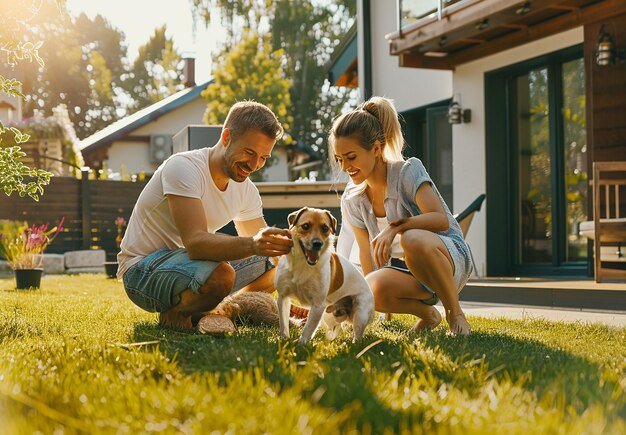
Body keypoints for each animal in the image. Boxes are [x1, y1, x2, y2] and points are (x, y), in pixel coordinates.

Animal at [276, 206, 372, 346]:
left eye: (325, 228)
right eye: (305, 226)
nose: (317, 243)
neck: (303, 264)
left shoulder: (318, 305)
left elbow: (309, 327)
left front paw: (302, 344)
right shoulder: (282, 297)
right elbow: (283, 323)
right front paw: (284, 339)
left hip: (360, 313)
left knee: (358, 335)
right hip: (328, 315)